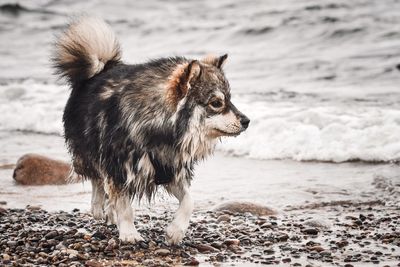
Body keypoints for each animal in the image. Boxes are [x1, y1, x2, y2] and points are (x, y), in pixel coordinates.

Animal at [51, 17, 248, 245]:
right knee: (96, 179)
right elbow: (124, 206)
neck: (161, 132)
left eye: (230, 100)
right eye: (216, 103)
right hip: (87, 152)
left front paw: (175, 231)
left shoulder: (170, 170)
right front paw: (129, 233)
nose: (247, 121)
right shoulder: (119, 168)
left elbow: (189, 201)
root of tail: (99, 69)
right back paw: (99, 206)